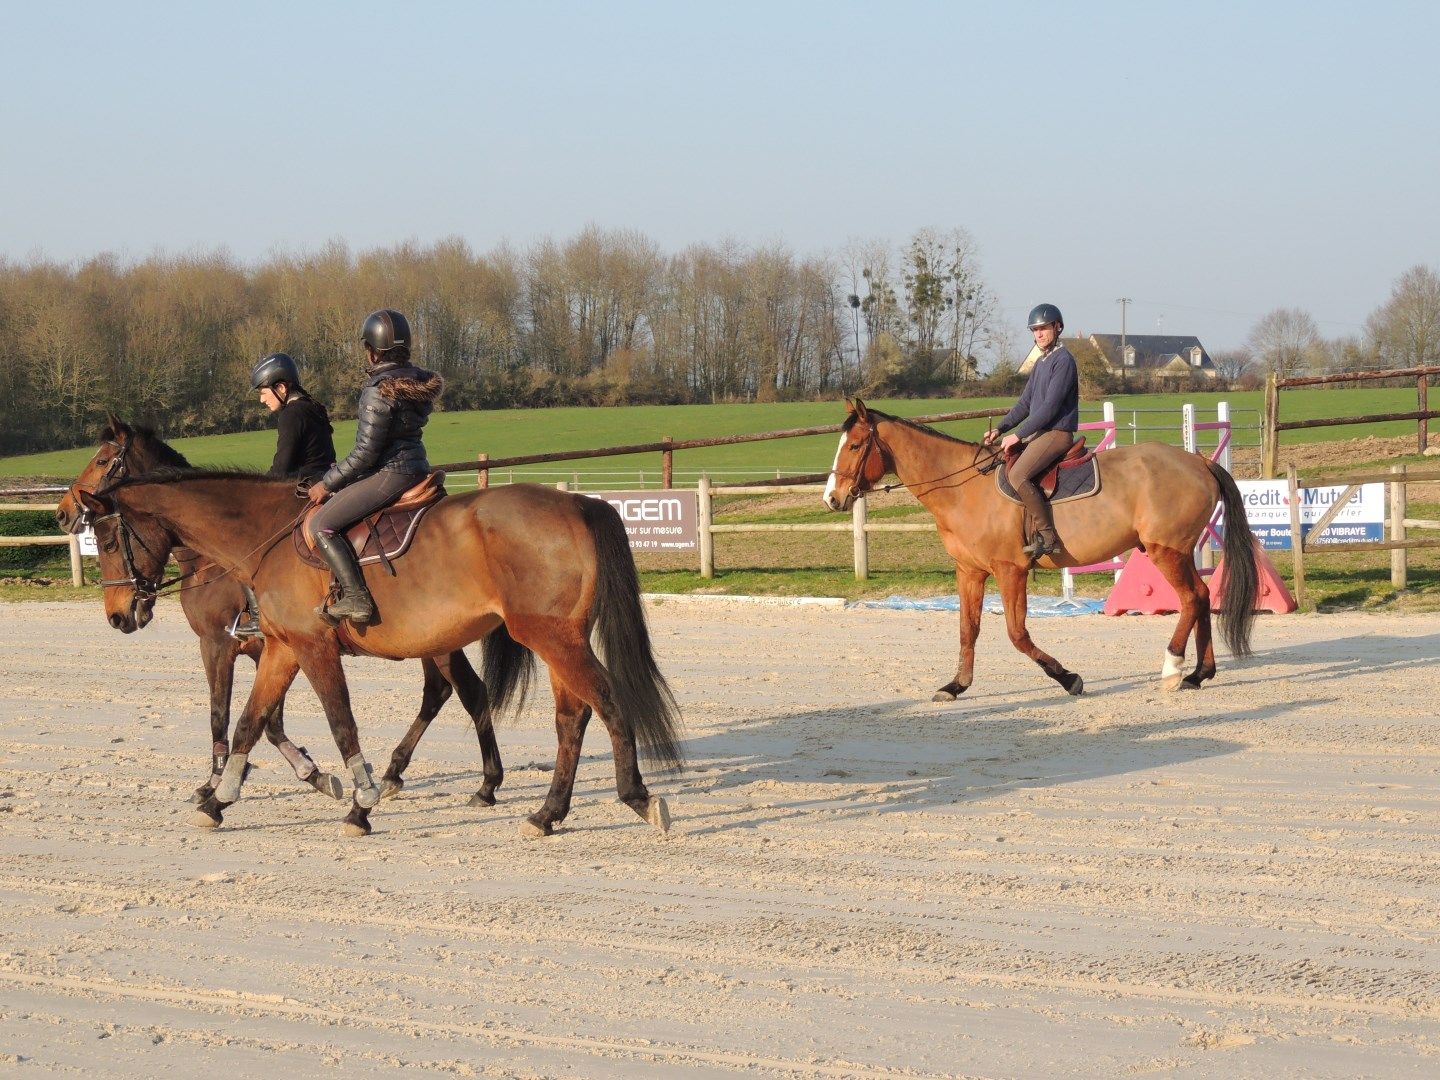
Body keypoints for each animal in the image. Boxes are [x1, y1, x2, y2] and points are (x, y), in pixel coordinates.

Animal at [57, 417, 518, 806]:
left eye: (102, 460)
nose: (63, 512)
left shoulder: (219, 646)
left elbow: (224, 715)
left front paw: (218, 782)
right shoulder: (272, 649)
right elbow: (266, 719)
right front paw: (308, 773)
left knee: (465, 692)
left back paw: (481, 783)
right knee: (447, 693)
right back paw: (407, 774)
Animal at [74, 460, 685, 840]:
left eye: (104, 538)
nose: (118, 615)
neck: (265, 534)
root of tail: (577, 503)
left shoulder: (302, 647)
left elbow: (336, 721)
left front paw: (359, 803)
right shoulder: (281, 648)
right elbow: (251, 720)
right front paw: (218, 801)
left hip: (551, 637)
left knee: (603, 702)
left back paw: (633, 795)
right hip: (553, 640)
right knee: (567, 716)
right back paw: (546, 812)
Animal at [829, 403, 1255, 696]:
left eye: (855, 445)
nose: (831, 498)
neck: (964, 490)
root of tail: (1197, 462)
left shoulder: (1009, 570)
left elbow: (1017, 634)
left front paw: (1068, 678)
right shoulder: (970, 571)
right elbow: (968, 629)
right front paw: (957, 685)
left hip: (1166, 551)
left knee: (1191, 598)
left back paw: (1172, 669)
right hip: (1175, 551)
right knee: (1201, 595)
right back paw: (1199, 674)